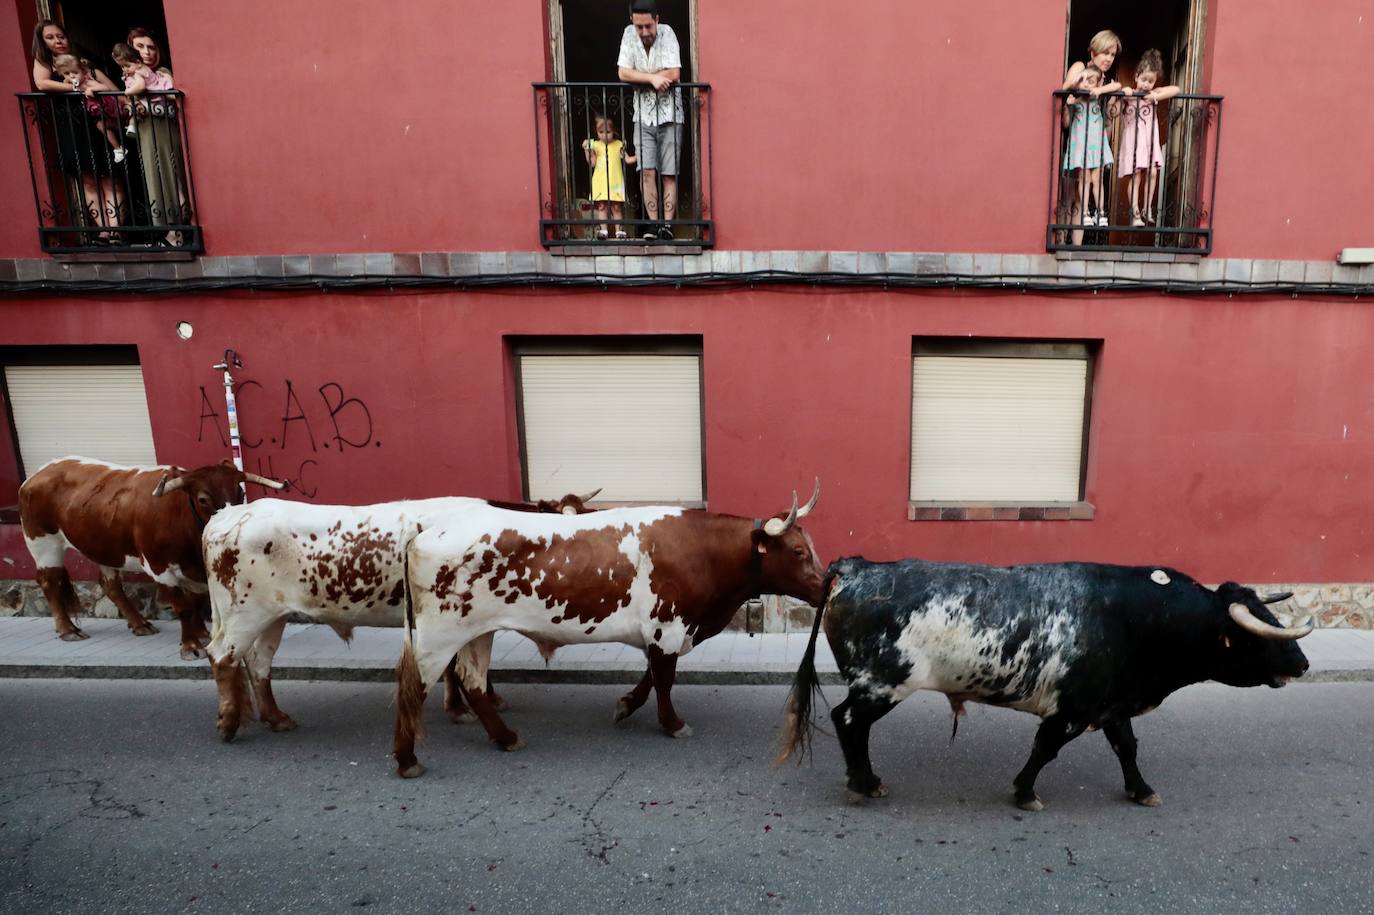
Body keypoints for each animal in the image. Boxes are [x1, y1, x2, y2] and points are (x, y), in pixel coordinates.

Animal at [18, 456, 287, 656]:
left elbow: (195, 601)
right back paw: (68, 630)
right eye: (203, 499)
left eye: (240, 492)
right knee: (50, 583)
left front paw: (200, 633)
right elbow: (183, 606)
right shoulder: (160, 568)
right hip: (44, 544)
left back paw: (140, 624)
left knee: (110, 585)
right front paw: (190, 646)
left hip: (103, 548)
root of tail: (37, 474)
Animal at [392, 480, 818, 774]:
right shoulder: (668, 627)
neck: (702, 550)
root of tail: (429, 529)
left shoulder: (662, 631)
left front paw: (626, 705)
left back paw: (506, 737)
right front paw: (672, 723)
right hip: (438, 636)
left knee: (473, 681)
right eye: (798, 552)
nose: (825, 584)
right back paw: (407, 758)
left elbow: (650, 676)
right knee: (415, 685)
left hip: (477, 632)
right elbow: (664, 679)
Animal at [780, 555, 1313, 807]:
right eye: (1256, 633)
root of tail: (857, 568)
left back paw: (867, 780)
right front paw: (1024, 792)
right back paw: (861, 783)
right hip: (881, 684)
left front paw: (1141, 789)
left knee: (855, 726)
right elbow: (1044, 750)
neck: (1142, 619)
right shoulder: (1073, 710)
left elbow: (1127, 748)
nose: (1303, 664)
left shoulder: (1112, 704)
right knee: (848, 721)